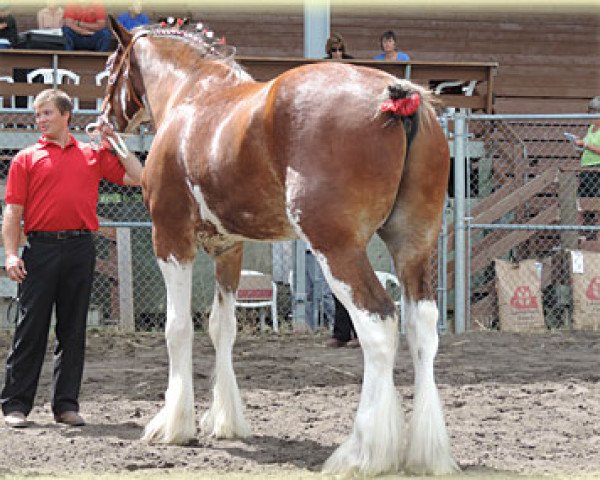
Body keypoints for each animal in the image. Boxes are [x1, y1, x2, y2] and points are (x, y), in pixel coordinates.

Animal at [102, 15, 460, 476]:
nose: (104, 120)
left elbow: (177, 329)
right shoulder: (230, 248)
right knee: (422, 327)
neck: (192, 94)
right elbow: (223, 328)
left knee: (378, 325)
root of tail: (396, 96)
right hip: (413, 245)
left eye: (109, 68)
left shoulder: (170, 238)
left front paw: (172, 425)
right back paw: (426, 453)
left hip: (338, 249)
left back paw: (362, 453)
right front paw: (226, 420)